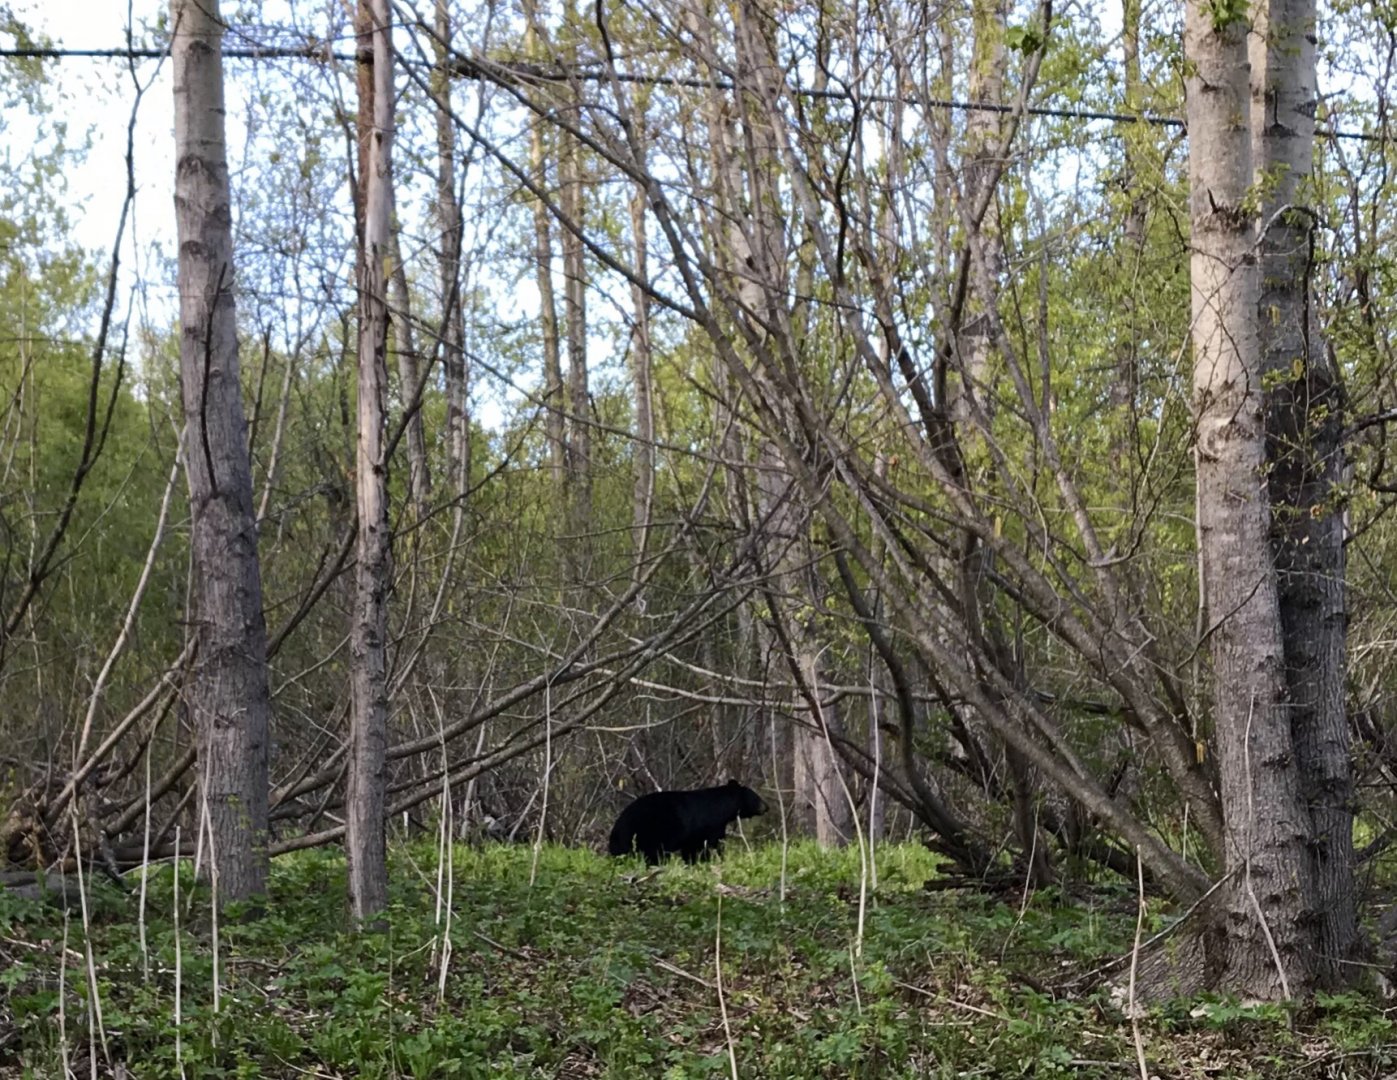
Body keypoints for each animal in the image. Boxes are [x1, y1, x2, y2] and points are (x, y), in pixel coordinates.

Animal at [608, 779, 768, 864]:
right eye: (756, 797)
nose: (767, 807)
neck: (722, 808)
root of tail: (617, 828)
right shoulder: (711, 826)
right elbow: (711, 845)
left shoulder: (692, 837)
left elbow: (690, 850)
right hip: (650, 833)